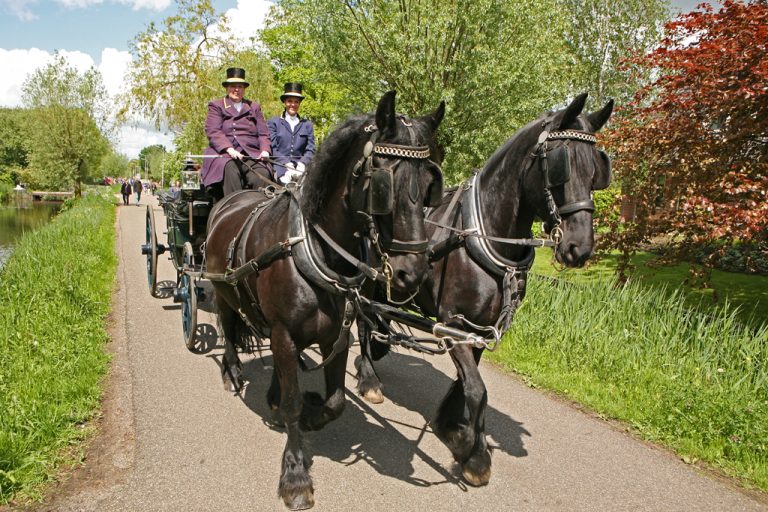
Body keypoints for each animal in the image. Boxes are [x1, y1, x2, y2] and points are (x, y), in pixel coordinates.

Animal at [204, 91, 444, 508]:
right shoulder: (284, 335)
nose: (411, 274)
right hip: (222, 290)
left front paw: (313, 414)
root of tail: (230, 201)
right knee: (229, 328)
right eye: (383, 184)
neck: (315, 250)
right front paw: (295, 474)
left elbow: (336, 402)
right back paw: (232, 372)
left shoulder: (336, 335)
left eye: (431, 182)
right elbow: (293, 403)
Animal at [354, 93, 612, 488]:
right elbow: (477, 389)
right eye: (560, 165)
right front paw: (474, 455)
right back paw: (369, 378)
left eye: (596, 170)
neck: (486, 233)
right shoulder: (454, 323)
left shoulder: (480, 326)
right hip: (366, 279)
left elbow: (469, 381)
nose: (579, 247)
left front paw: (452, 424)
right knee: (362, 319)